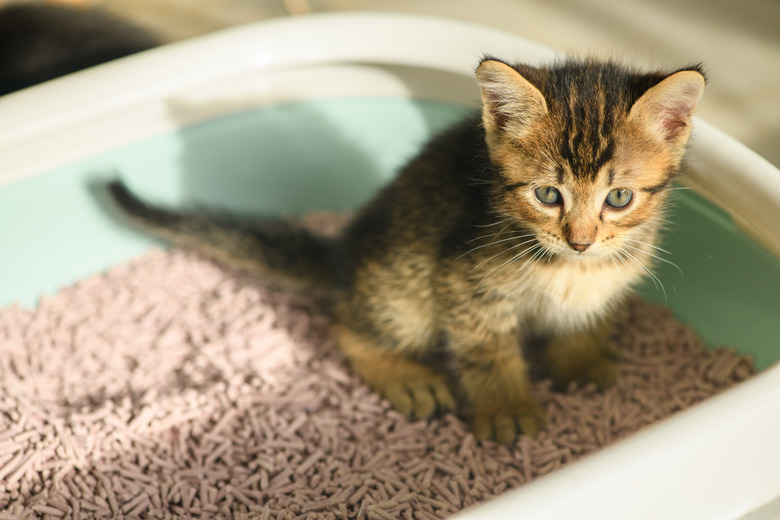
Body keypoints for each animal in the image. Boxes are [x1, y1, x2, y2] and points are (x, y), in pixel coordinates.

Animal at [105, 58, 708, 446]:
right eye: (547, 195)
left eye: (619, 198)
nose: (580, 239)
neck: (567, 266)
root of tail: (344, 258)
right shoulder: (463, 281)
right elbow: (488, 350)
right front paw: (506, 407)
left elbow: (582, 318)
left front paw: (579, 358)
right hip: (405, 287)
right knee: (346, 323)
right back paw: (405, 375)